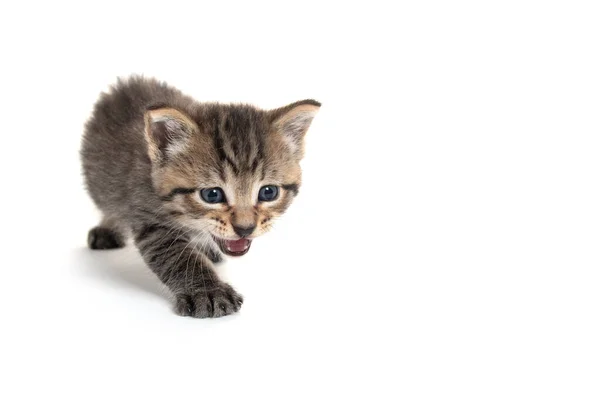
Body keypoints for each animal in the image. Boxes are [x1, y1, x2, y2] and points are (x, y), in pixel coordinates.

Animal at [83, 77, 324, 318]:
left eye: (268, 192)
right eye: (212, 195)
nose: (245, 228)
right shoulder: (150, 218)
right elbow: (179, 258)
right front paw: (208, 291)